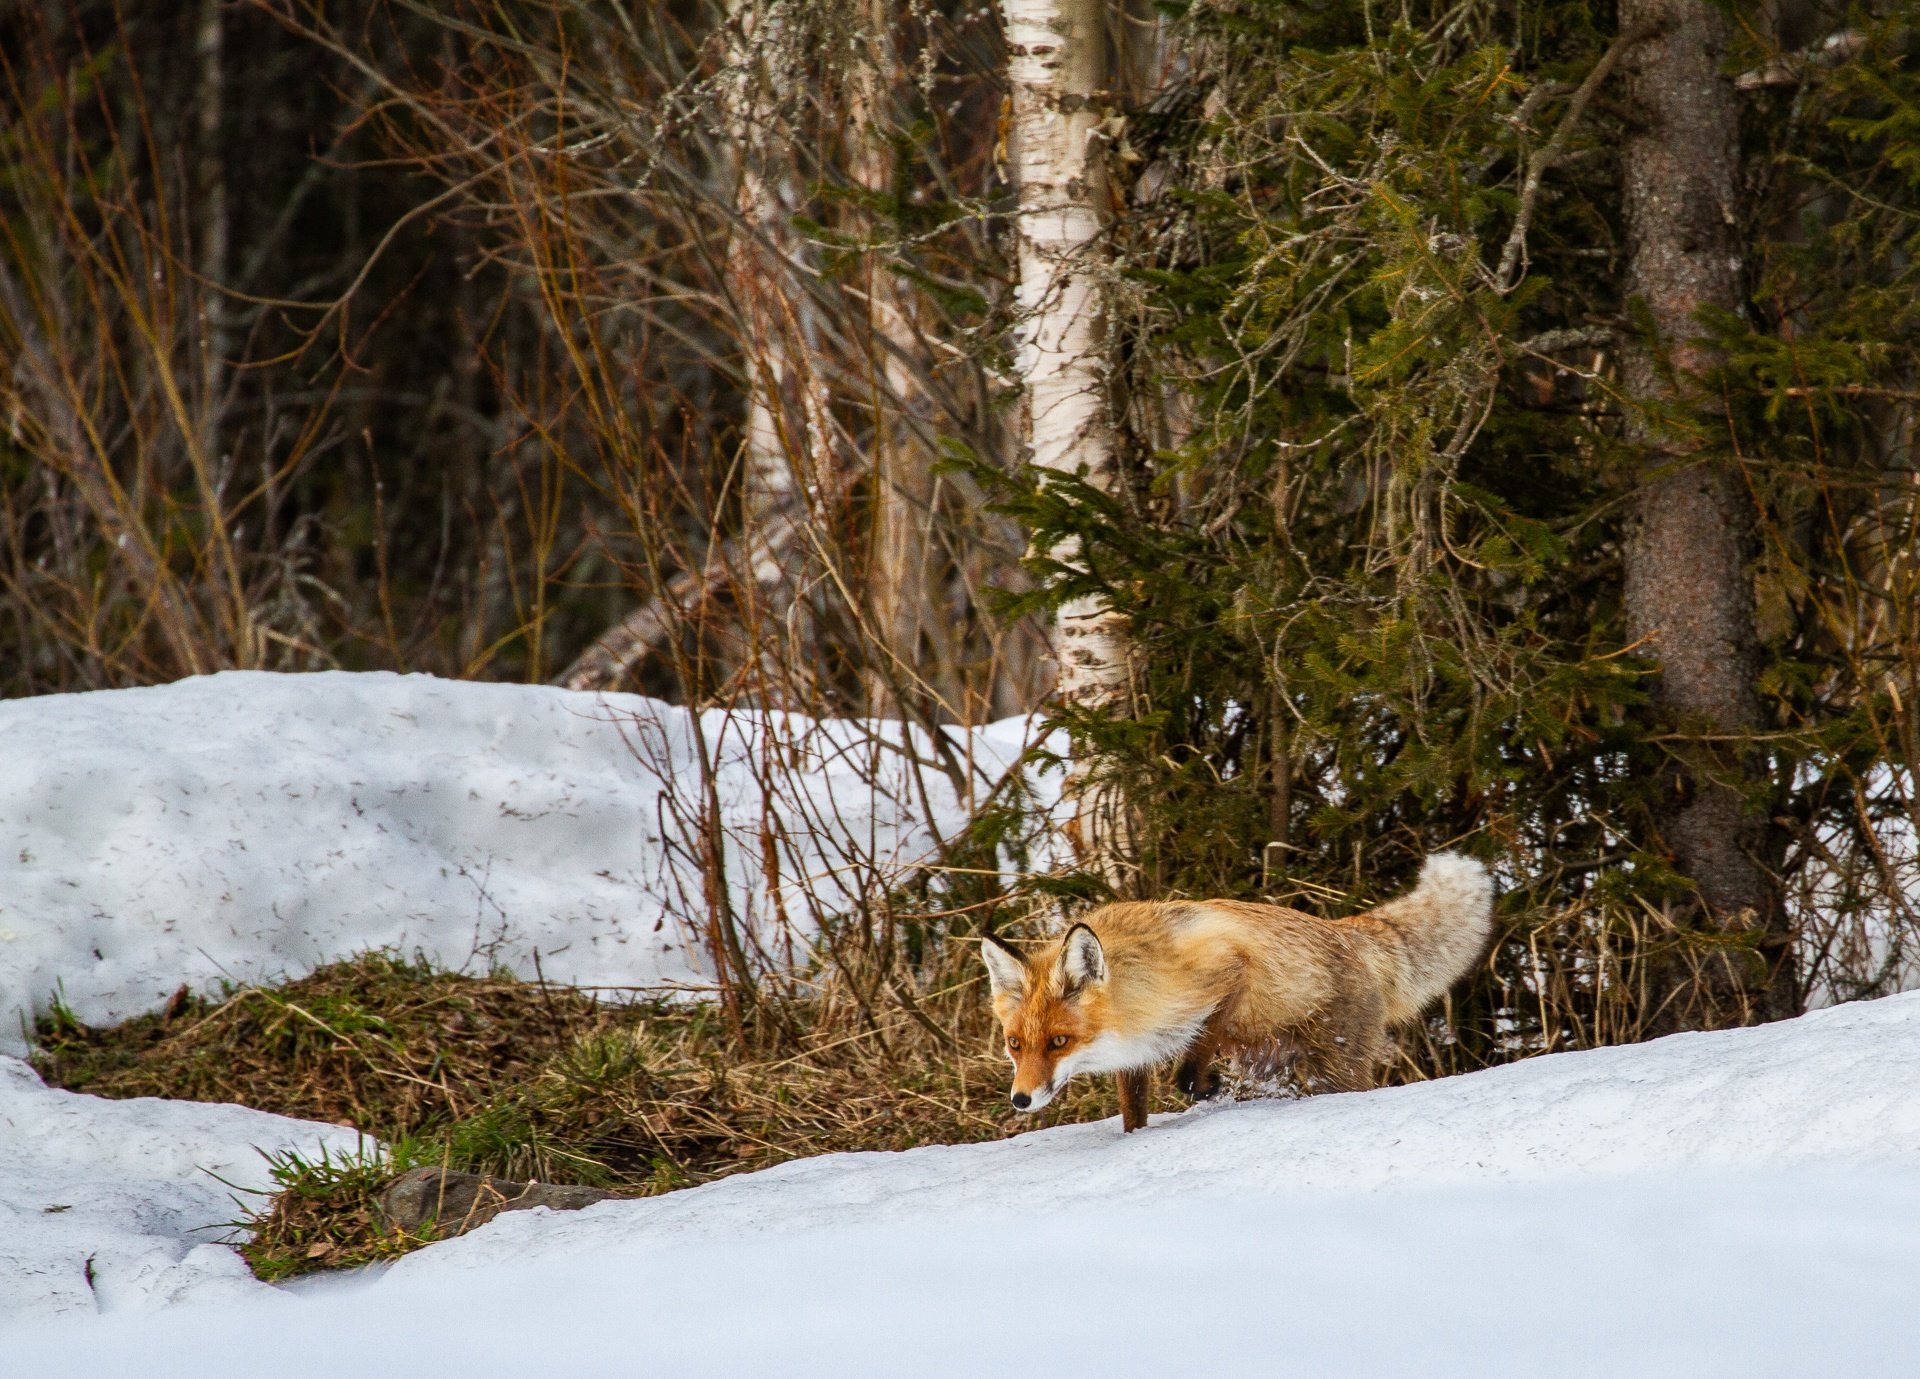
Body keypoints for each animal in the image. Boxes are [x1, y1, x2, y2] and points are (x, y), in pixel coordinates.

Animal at [983, 852, 1489, 1137]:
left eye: (1059, 1042)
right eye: (1015, 1044)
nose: (1020, 1100)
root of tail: (1346, 928)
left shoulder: (1228, 970)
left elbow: (1193, 1062)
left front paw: (1207, 1086)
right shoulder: (1135, 1055)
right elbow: (1133, 1114)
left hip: (1336, 1068)